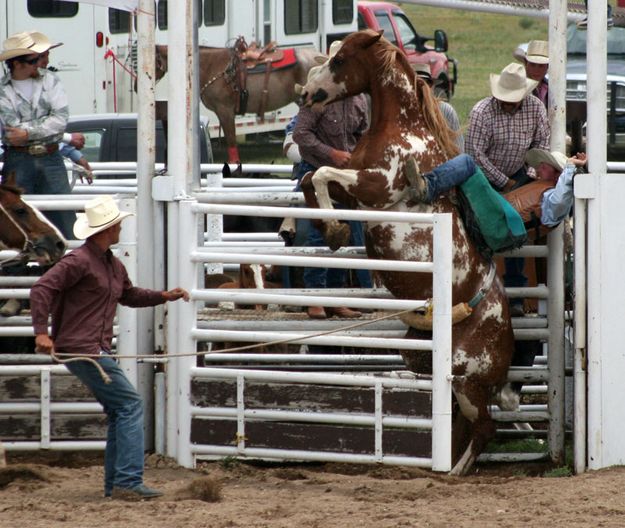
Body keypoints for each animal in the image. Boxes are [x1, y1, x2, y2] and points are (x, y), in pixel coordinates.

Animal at [300, 29, 516, 474]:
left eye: (340, 59)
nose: (306, 94)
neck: (401, 129)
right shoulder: (356, 187)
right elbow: (312, 178)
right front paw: (332, 228)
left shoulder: (377, 186)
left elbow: (324, 172)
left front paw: (333, 226)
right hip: (425, 361)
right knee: (461, 423)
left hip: (465, 378)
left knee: (483, 426)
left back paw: (454, 472)